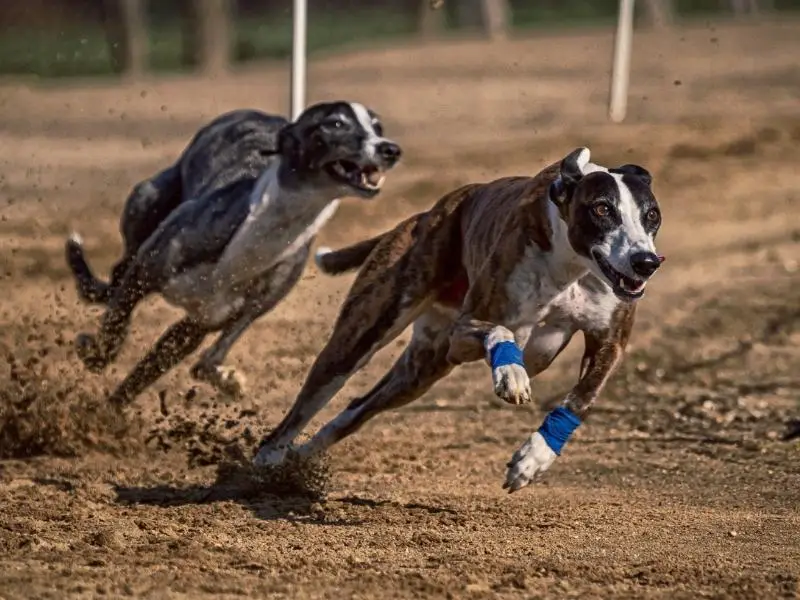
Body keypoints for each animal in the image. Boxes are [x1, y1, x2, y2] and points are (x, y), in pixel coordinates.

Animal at [65, 102, 404, 404]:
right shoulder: (144, 273)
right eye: (335, 123)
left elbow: (150, 373)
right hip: (146, 202)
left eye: (378, 127)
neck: (262, 231)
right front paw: (95, 355)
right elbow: (115, 326)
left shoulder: (200, 325)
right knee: (116, 277)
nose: (390, 149)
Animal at [255, 146, 664, 492]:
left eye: (652, 216)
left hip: (420, 371)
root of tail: (424, 216)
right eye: (602, 209)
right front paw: (511, 375)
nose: (646, 262)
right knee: (311, 399)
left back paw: (300, 459)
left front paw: (533, 459)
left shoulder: (610, 342)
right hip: (366, 335)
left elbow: (581, 397)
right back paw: (269, 457)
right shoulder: (463, 332)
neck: (573, 266)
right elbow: (501, 331)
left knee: (356, 409)